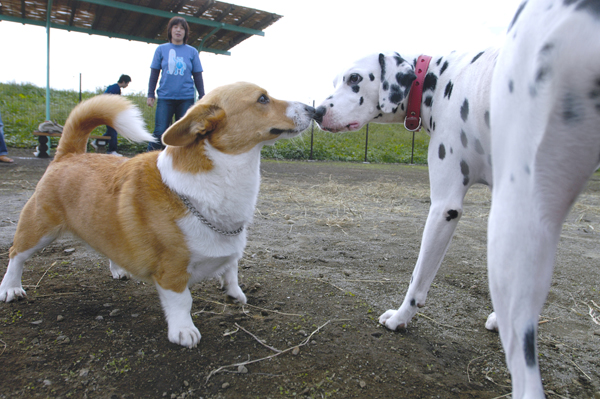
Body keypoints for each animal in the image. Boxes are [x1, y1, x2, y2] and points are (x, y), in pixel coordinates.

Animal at [0, 83, 316, 348]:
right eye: (263, 99)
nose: (314, 110)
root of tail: (69, 154)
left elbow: (231, 269)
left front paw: (234, 292)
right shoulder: (172, 269)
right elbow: (182, 301)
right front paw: (183, 331)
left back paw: (118, 268)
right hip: (38, 229)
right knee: (16, 255)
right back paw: (11, 288)